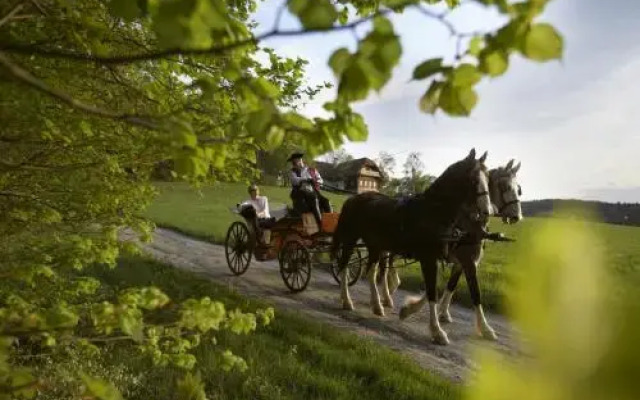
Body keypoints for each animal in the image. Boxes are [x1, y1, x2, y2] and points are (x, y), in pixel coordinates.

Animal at [330, 148, 490, 346]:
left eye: (488, 178)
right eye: (474, 179)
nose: (486, 212)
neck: (433, 212)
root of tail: (353, 198)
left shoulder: (443, 259)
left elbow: (435, 289)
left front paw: (409, 311)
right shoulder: (429, 259)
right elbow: (432, 292)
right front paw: (437, 331)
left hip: (375, 245)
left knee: (371, 272)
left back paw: (377, 305)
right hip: (351, 239)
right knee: (344, 266)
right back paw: (347, 300)